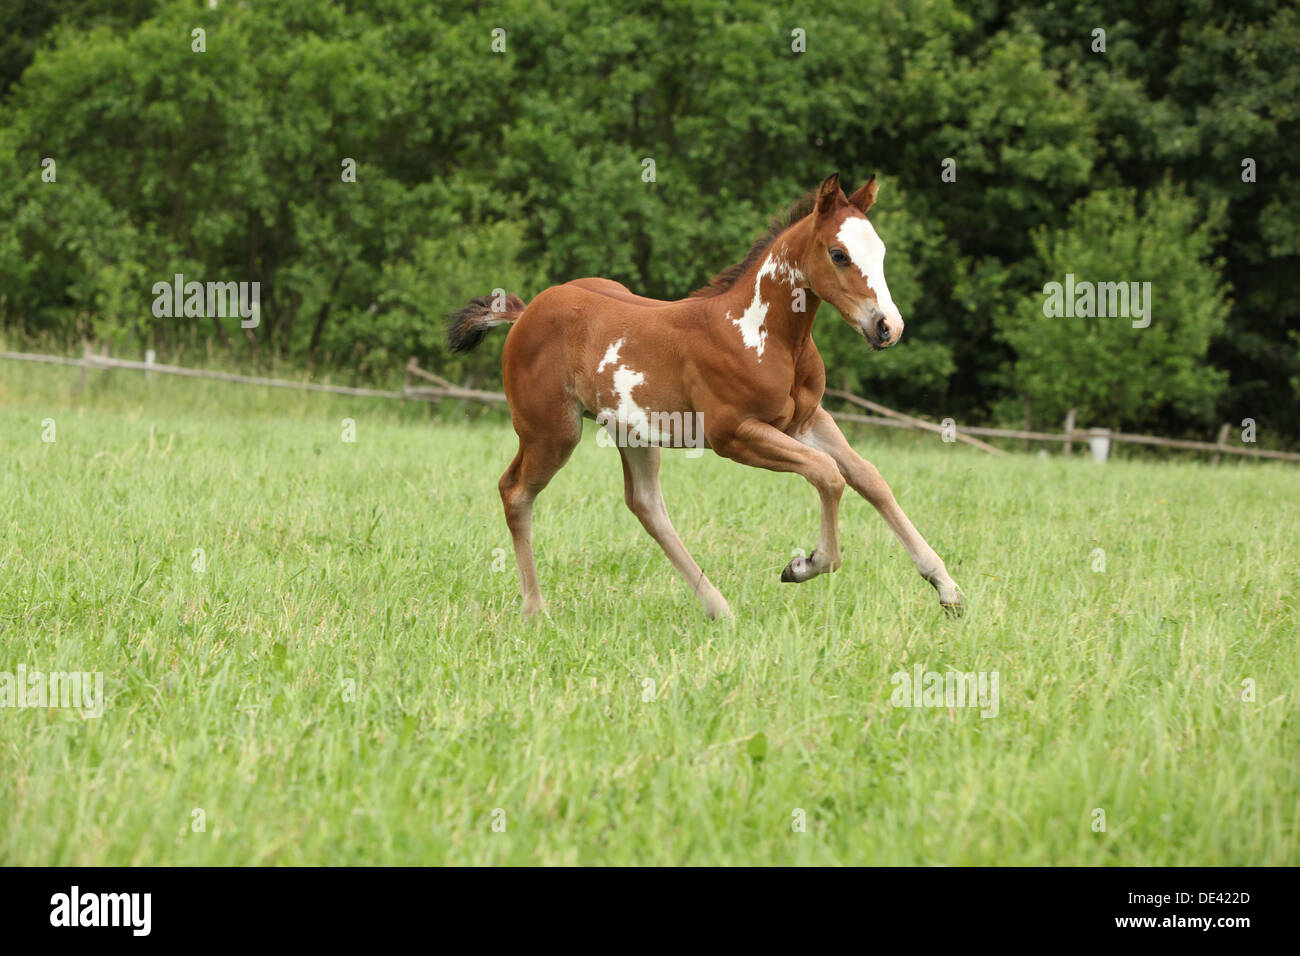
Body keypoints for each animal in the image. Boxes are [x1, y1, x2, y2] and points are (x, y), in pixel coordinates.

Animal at [448, 173, 963, 620]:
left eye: (881, 251)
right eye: (838, 253)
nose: (887, 326)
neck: (760, 334)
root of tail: (526, 312)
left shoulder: (807, 420)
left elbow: (869, 478)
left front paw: (947, 588)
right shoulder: (733, 435)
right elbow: (828, 474)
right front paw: (804, 566)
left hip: (631, 433)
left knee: (646, 505)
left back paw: (718, 608)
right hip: (552, 432)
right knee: (516, 493)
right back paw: (536, 611)